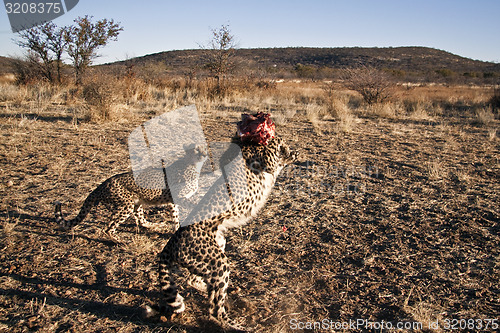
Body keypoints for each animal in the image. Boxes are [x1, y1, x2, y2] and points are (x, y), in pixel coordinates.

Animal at [55, 144, 208, 240]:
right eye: (196, 150)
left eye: (204, 149)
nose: (204, 154)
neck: (193, 165)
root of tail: (102, 184)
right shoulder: (179, 197)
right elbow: (192, 205)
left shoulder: (172, 202)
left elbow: (176, 216)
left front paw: (176, 229)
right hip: (125, 205)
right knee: (108, 227)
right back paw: (119, 241)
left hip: (136, 203)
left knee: (141, 221)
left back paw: (155, 225)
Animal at [146, 135, 298, 330]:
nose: (294, 151)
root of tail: (170, 243)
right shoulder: (264, 161)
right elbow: (273, 156)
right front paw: (283, 147)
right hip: (219, 262)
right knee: (215, 309)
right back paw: (238, 326)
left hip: (214, 249)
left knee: (195, 281)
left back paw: (215, 290)